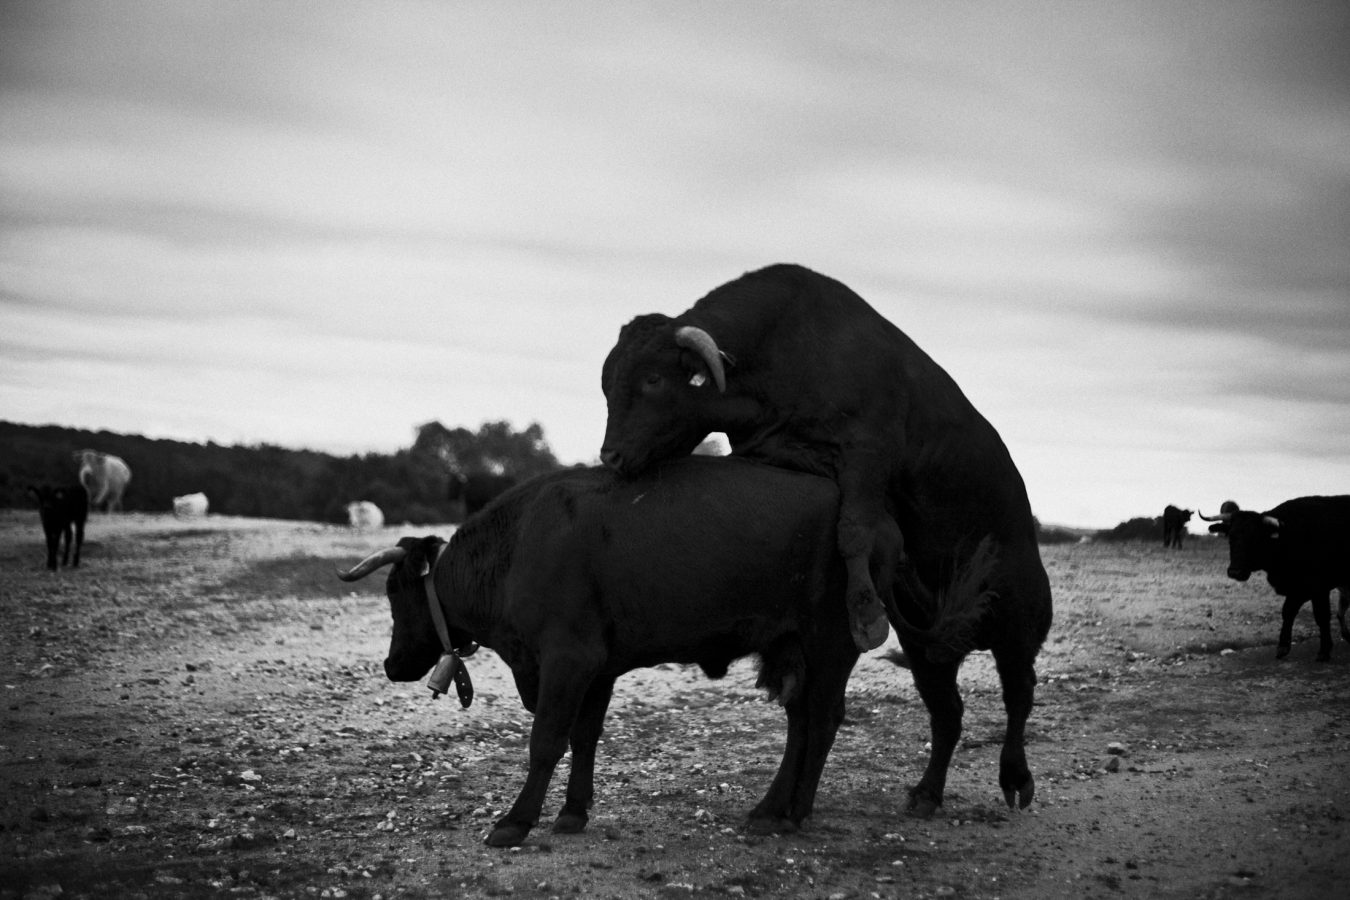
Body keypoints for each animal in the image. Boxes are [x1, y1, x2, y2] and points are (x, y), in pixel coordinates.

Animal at [336, 456, 987, 848]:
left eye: (396, 594)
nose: (391, 664)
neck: (518, 546)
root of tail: (877, 517)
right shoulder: (597, 668)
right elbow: (583, 738)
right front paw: (573, 813)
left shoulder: (567, 658)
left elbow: (546, 741)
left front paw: (515, 821)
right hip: (795, 648)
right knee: (802, 723)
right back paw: (770, 808)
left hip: (831, 641)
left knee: (822, 721)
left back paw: (796, 812)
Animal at [599, 263, 1052, 816]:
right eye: (608, 384)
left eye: (653, 379)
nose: (611, 456)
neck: (783, 350)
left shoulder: (867, 451)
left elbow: (854, 530)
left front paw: (865, 614)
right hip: (928, 654)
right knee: (948, 711)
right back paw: (927, 793)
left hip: (1018, 622)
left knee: (1019, 693)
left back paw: (1016, 777)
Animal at [1200, 496, 1350, 661]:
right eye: (1231, 537)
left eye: (1255, 538)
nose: (1235, 572)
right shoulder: (1298, 588)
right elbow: (1288, 611)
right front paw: (1283, 647)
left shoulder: (1318, 587)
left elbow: (1321, 616)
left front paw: (1324, 651)